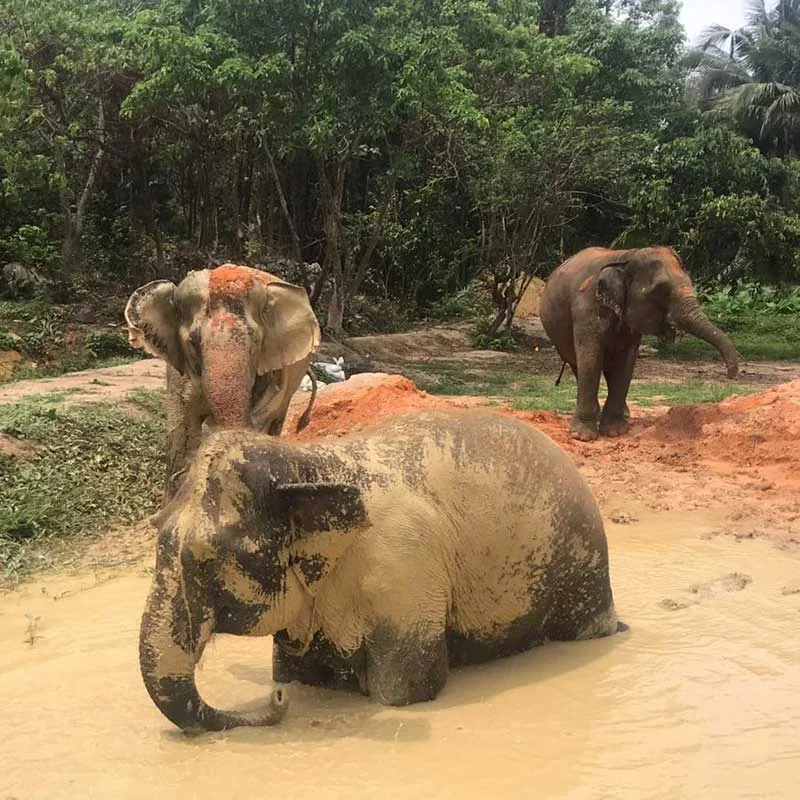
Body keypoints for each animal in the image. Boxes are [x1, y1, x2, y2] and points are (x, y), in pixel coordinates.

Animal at [139, 408, 623, 733]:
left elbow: (404, 693)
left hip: (581, 565)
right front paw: (296, 687)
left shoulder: (404, 573)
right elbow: (301, 669)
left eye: (204, 558)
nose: (278, 700)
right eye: (156, 527)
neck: (309, 462)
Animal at [539, 246, 740, 441]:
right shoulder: (586, 309)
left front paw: (615, 432)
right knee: (578, 366)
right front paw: (583, 436)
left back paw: (624, 416)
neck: (625, 255)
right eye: (660, 290)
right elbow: (590, 358)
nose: (731, 376)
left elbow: (626, 363)